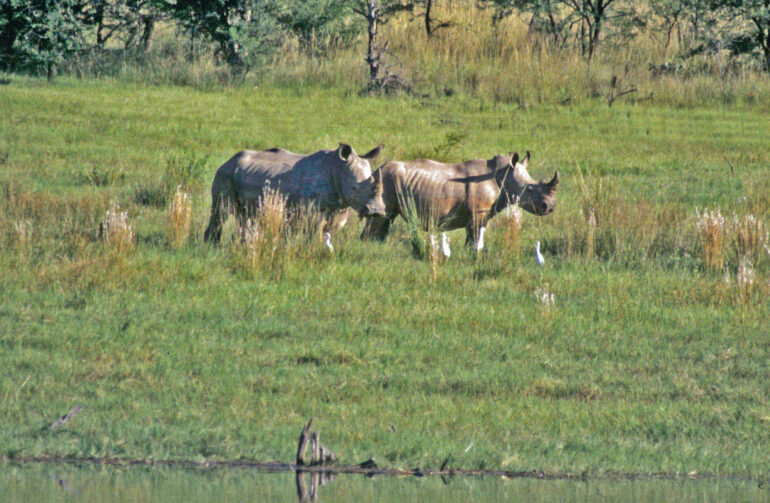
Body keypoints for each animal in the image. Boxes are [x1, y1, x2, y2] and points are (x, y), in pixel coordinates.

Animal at [204, 143, 386, 243]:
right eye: (355, 188)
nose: (376, 211)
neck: (339, 169)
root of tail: (228, 160)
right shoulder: (313, 212)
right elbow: (314, 235)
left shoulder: (338, 209)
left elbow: (328, 234)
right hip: (225, 174)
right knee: (221, 211)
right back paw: (212, 247)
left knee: (246, 216)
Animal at [361, 151, 558, 246]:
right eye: (530, 189)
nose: (550, 207)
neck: (503, 176)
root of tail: (376, 170)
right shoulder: (478, 214)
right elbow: (475, 240)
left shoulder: (480, 215)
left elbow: (473, 238)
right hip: (385, 181)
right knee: (381, 217)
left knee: (385, 219)